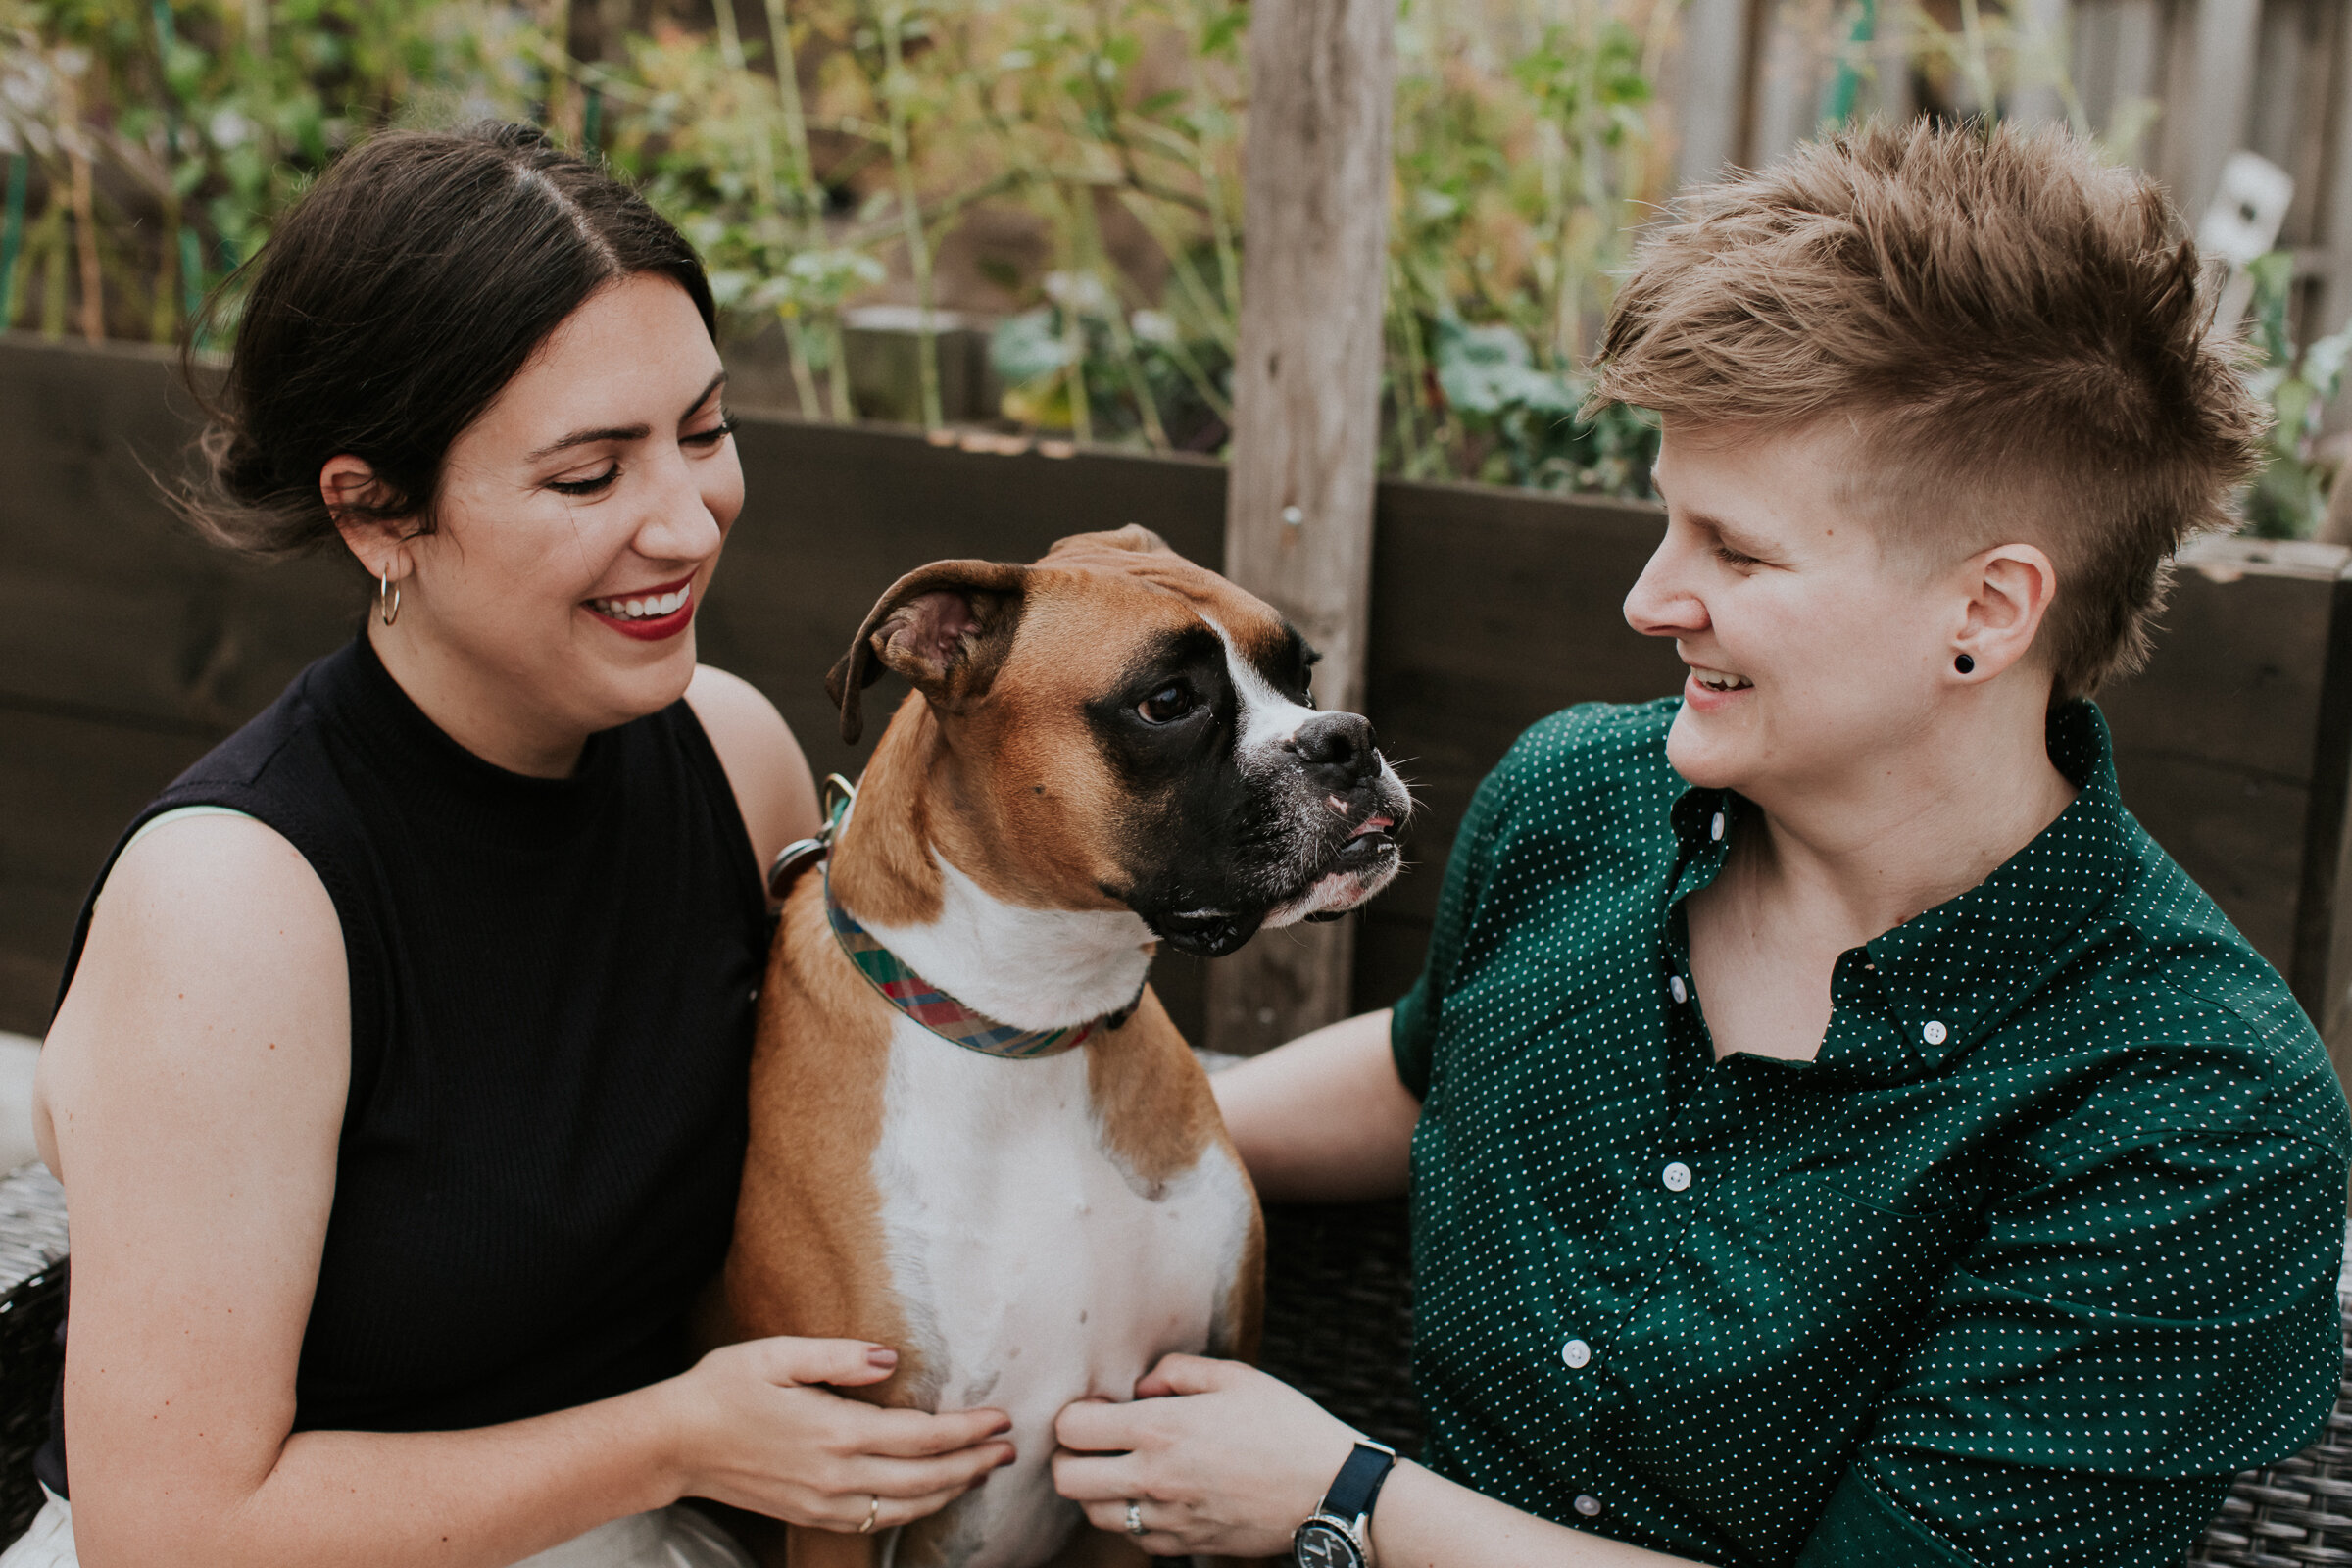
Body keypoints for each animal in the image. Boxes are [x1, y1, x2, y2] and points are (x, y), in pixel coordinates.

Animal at [724, 531, 1401, 1568]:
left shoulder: (1171, 1426)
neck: (1033, 1026)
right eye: (1167, 701)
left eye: (1304, 672)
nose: (1347, 736)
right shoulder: (842, 1489)